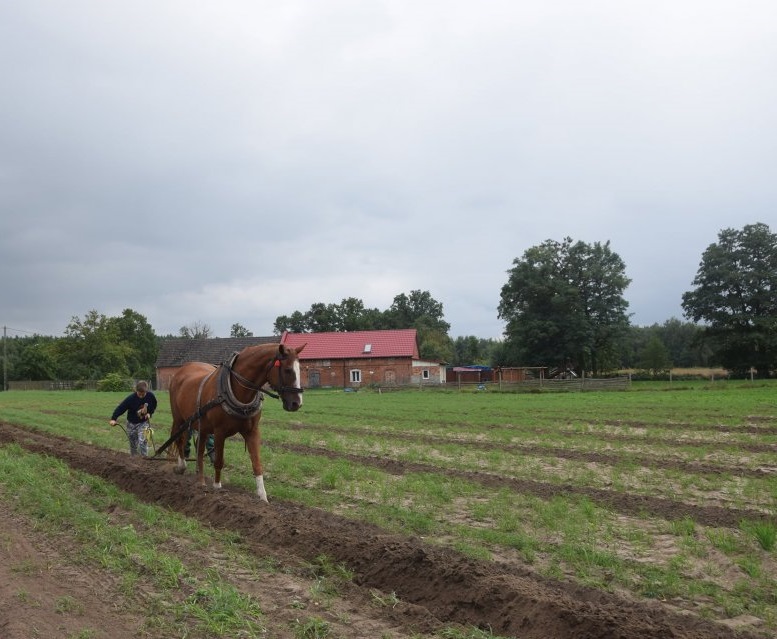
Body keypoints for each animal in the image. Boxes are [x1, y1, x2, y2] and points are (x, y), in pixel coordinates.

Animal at [167, 342, 304, 502]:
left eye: (299, 369)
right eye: (288, 370)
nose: (297, 403)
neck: (238, 391)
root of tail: (181, 370)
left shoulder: (252, 432)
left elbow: (257, 464)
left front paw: (263, 497)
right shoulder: (219, 432)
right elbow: (219, 461)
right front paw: (217, 487)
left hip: (202, 426)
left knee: (199, 449)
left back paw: (200, 481)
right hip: (179, 419)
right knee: (179, 439)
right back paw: (182, 466)